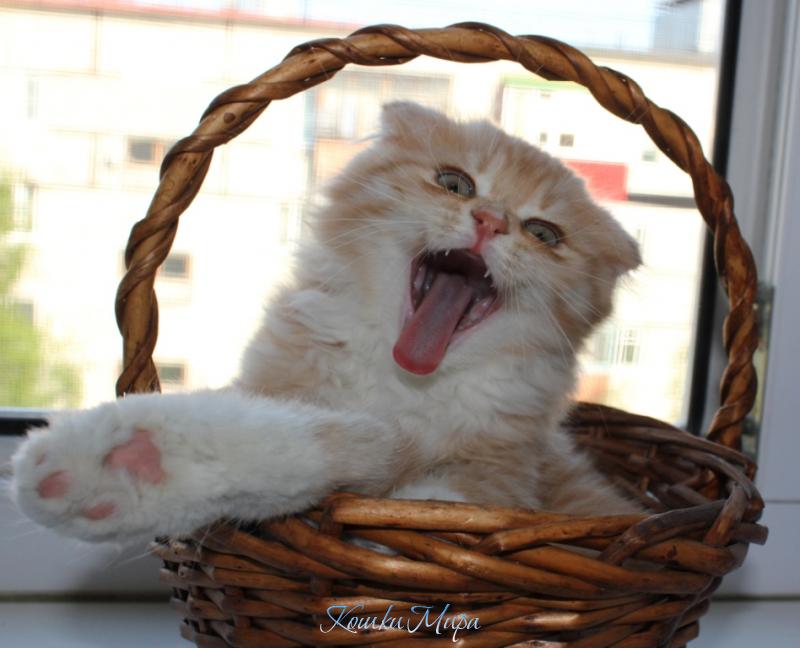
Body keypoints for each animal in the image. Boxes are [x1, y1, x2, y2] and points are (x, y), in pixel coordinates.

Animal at [11, 102, 642, 544]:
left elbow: (427, 495)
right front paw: (133, 464)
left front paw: (136, 463)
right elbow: (305, 435)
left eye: (544, 234)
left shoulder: (504, 469)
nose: (489, 220)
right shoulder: (282, 384)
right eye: (455, 182)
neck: (401, 383)